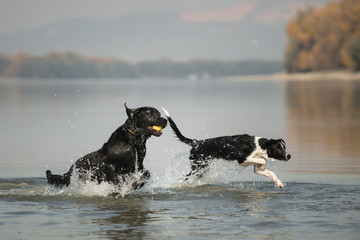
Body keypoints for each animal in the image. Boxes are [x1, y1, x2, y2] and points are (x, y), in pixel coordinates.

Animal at [162, 108, 292, 188]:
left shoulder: (257, 170)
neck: (259, 145)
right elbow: (262, 160)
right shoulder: (242, 158)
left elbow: (271, 173)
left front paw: (278, 183)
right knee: (185, 177)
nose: (289, 156)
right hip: (198, 166)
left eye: (284, 147)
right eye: (278, 148)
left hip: (202, 167)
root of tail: (196, 142)